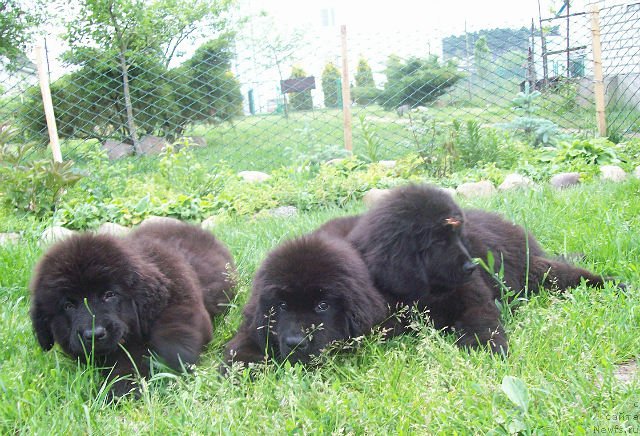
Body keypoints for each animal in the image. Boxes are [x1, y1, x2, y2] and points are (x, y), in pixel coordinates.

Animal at [30, 221, 235, 396]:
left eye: (110, 294)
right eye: (68, 305)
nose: (94, 334)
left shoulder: (181, 315)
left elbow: (161, 352)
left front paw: (117, 390)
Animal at [348, 184, 616, 354]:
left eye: (459, 236)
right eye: (438, 242)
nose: (472, 265)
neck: (431, 292)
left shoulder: (474, 297)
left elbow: (482, 320)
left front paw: (489, 347)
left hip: (534, 271)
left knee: (572, 275)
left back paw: (613, 284)